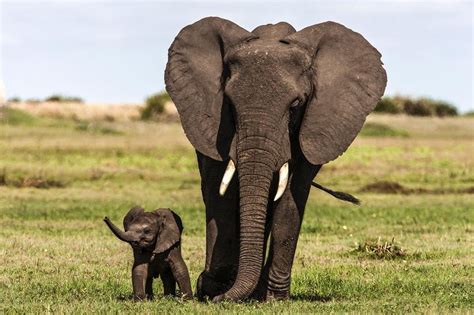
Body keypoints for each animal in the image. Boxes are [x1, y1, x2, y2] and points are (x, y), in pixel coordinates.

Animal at [165, 17, 386, 304]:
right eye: (230, 104)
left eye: (295, 105)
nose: (218, 298)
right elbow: (222, 193)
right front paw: (215, 289)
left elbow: (291, 198)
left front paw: (274, 297)